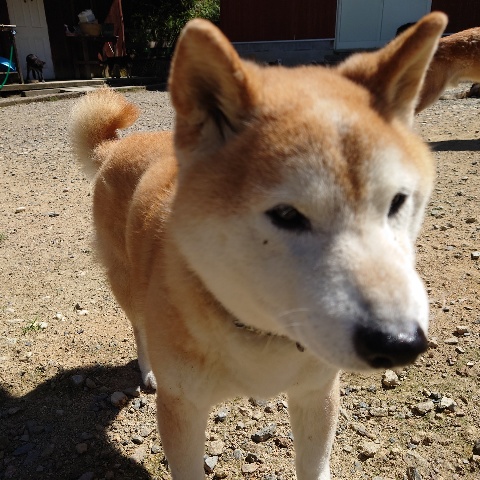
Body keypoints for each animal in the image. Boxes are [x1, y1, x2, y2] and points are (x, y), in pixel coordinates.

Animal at [71, 13, 446, 479]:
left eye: (397, 202)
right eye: (287, 215)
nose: (399, 343)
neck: (262, 331)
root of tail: (117, 146)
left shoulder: (316, 395)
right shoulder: (183, 409)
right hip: (128, 285)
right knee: (138, 326)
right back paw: (147, 368)